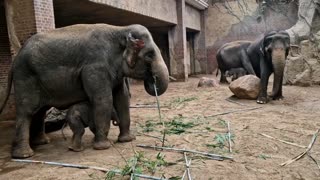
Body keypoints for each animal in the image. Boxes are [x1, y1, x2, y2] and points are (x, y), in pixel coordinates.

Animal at [0, 23, 170, 158]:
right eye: (149, 55)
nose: (152, 80)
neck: (120, 30)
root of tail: (16, 59)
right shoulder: (95, 67)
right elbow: (104, 99)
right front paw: (103, 147)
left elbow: (122, 99)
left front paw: (127, 140)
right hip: (25, 77)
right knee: (27, 111)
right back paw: (25, 155)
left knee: (39, 111)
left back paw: (42, 143)